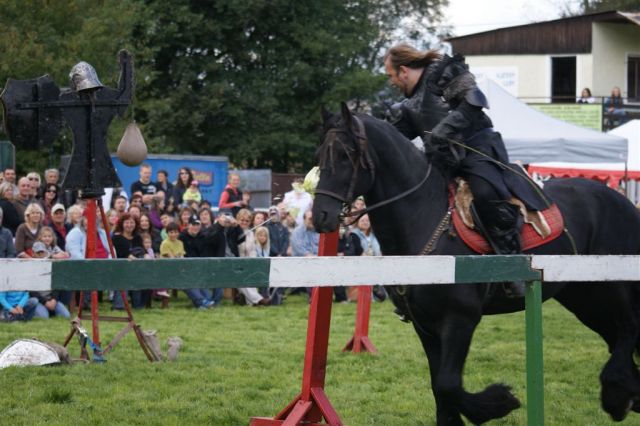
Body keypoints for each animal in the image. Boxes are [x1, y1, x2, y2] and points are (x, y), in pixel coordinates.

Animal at [312, 104, 640, 426]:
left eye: (346, 155)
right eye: (320, 155)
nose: (321, 215)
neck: (423, 214)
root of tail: (625, 203)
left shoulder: (460, 319)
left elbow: (448, 384)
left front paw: (499, 402)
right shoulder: (425, 325)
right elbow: (439, 387)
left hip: (613, 288)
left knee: (628, 328)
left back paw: (617, 394)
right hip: (583, 296)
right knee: (617, 336)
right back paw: (627, 393)